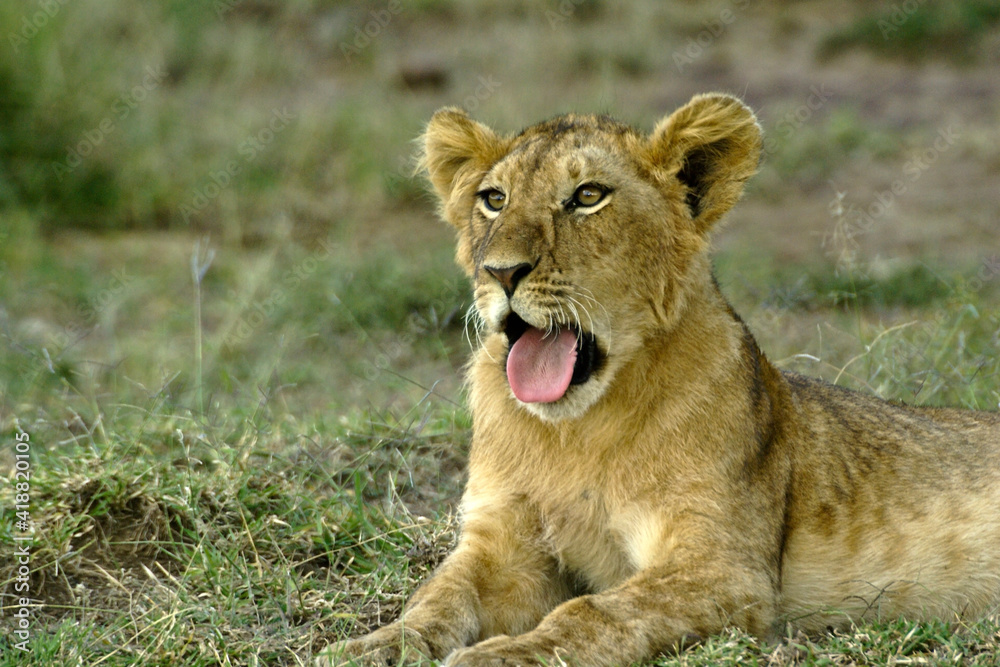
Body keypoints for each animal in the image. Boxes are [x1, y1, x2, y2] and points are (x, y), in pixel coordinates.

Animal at [319, 93, 1000, 666]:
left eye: (587, 195)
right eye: (493, 199)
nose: (501, 271)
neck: (575, 432)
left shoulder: (724, 566)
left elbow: (593, 612)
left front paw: (503, 655)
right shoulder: (502, 542)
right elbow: (438, 596)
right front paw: (374, 646)